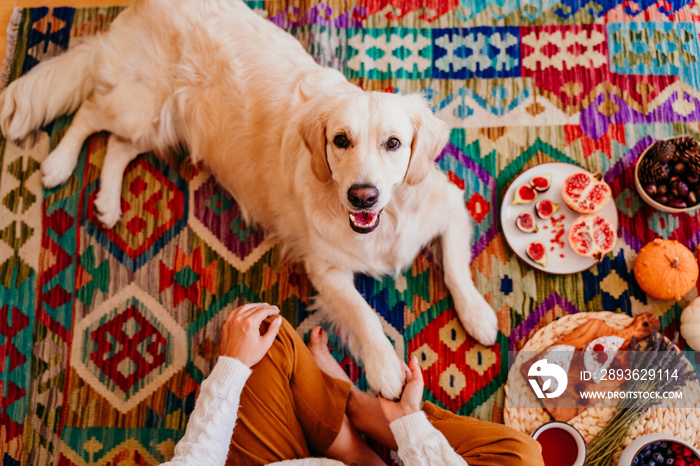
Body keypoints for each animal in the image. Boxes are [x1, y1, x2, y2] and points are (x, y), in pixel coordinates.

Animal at [2, 0, 500, 396]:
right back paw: (58, 164)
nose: (363, 196)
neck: (389, 218)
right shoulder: (325, 268)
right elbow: (363, 314)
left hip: (157, 123)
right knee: (90, 113)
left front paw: (477, 315)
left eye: (393, 143)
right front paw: (385, 370)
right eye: (341, 140)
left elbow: (456, 268)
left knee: (117, 146)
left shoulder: (449, 206)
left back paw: (107, 200)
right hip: (139, 106)